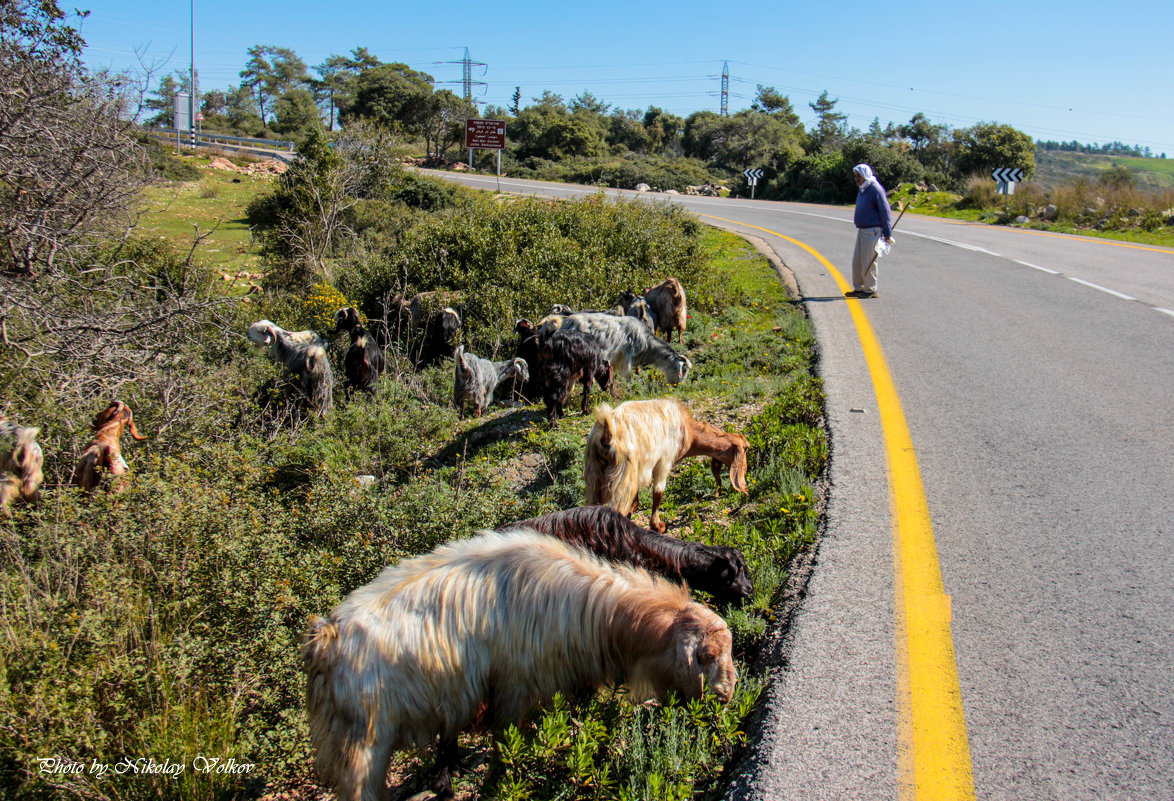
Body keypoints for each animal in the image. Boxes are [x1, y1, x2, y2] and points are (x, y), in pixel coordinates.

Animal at [302, 530, 732, 798]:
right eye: (706, 656)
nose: (727, 696)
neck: (594, 612)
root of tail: (325, 640)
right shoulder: (513, 686)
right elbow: (506, 746)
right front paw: (500, 780)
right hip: (363, 747)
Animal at [582, 396, 746, 530]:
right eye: (747, 448)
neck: (687, 431)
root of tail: (607, 429)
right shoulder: (664, 461)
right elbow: (658, 492)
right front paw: (658, 526)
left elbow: (636, 500)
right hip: (623, 475)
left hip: (594, 474)